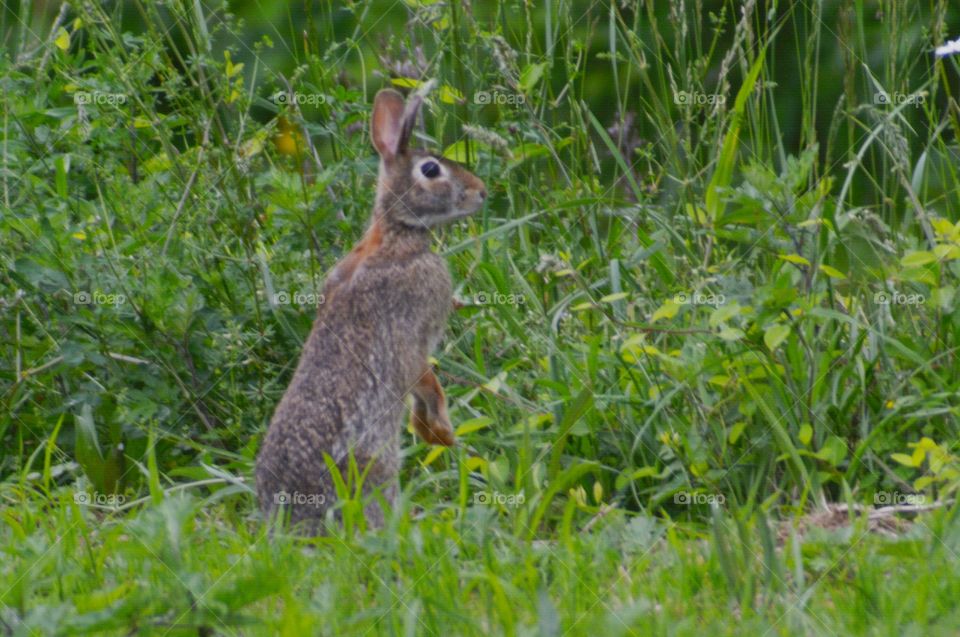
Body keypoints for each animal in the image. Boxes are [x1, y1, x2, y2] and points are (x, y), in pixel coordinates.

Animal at [255, 84, 487, 534]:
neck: (397, 234)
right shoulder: (412, 340)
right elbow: (426, 381)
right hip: (374, 468)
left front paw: (430, 433)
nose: (482, 191)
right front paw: (442, 432)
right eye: (430, 169)